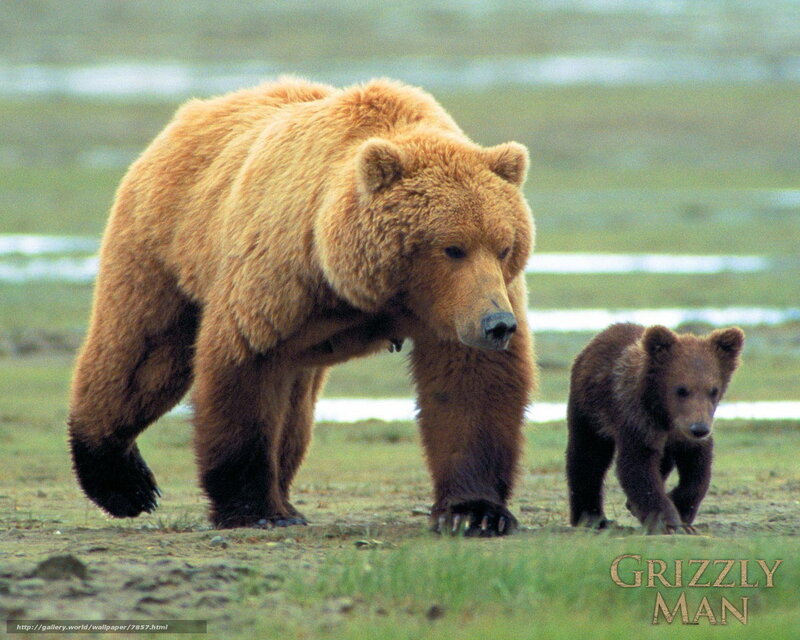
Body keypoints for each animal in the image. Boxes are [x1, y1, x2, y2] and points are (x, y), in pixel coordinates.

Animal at [67, 77, 537, 537]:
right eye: (452, 247)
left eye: (504, 246)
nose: (497, 324)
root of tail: (193, 111)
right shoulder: (281, 277)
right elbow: (244, 371)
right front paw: (254, 509)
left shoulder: (458, 308)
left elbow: (470, 386)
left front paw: (474, 512)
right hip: (164, 245)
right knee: (142, 356)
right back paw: (123, 483)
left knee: (293, 410)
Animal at [566, 323, 744, 534]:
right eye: (681, 389)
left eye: (713, 390)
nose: (699, 428)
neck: (665, 416)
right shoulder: (638, 421)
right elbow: (637, 467)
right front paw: (668, 523)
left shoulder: (690, 434)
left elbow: (698, 470)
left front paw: (681, 509)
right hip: (590, 409)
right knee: (588, 456)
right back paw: (591, 517)